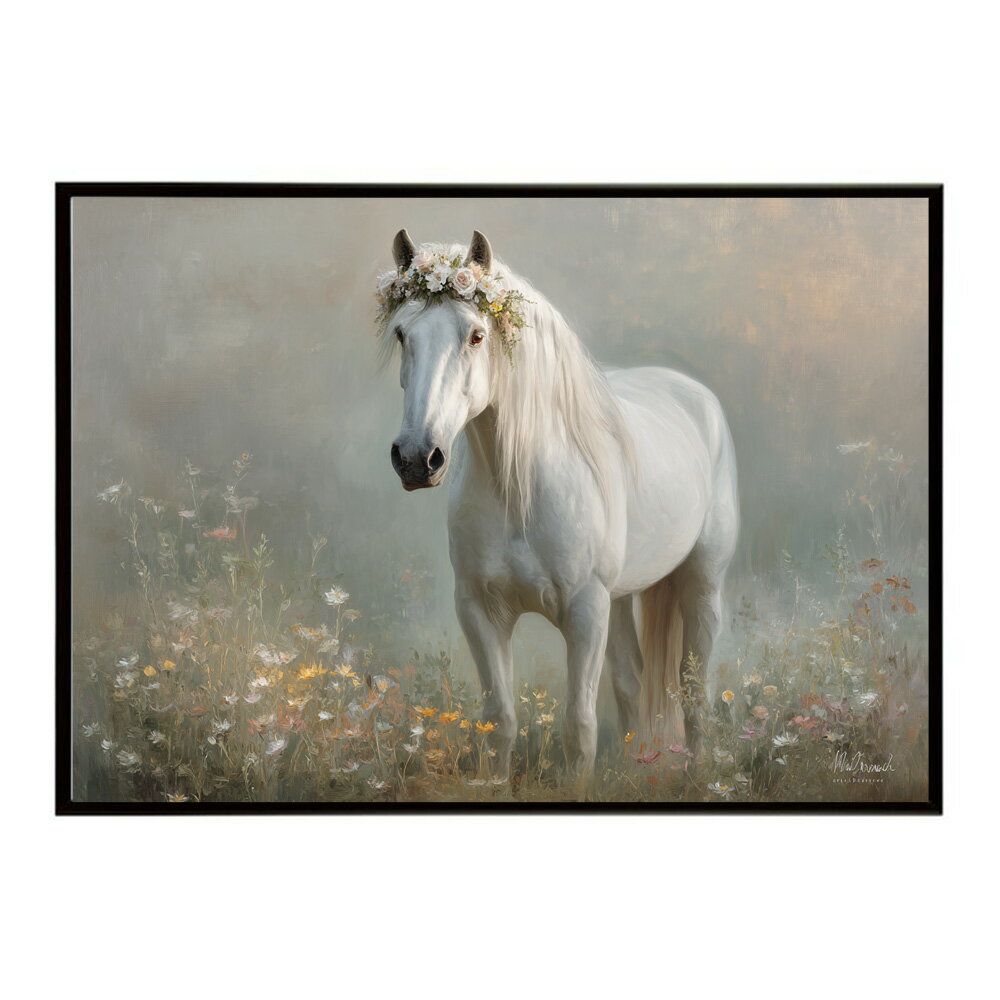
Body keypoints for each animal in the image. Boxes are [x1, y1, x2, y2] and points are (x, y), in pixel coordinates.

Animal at [380, 229, 739, 780]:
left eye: (476, 336)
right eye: (402, 334)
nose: (418, 458)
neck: (520, 491)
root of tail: (695, 396)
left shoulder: (585, 614)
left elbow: (579, 729)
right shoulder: (480, 611)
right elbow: (500, 722)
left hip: (700, 586)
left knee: (694, 689)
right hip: (620, 599)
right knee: (632, 682)